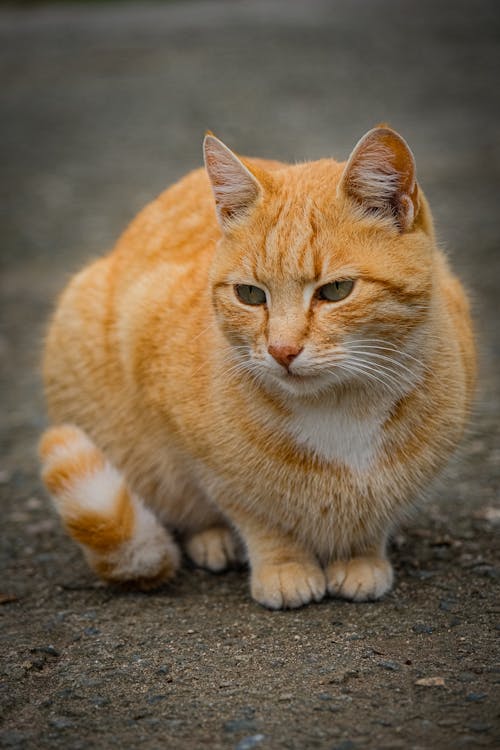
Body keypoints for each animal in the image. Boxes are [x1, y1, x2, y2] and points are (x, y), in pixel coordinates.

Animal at [40, 128, 476, 612]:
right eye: (249, 294)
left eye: (336, 290)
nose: (282, 350)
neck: (340, 407)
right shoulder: (204, 460)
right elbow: (257, 516)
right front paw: (285, 566)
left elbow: (374, 516)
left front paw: (360, 557)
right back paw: (213, 540)